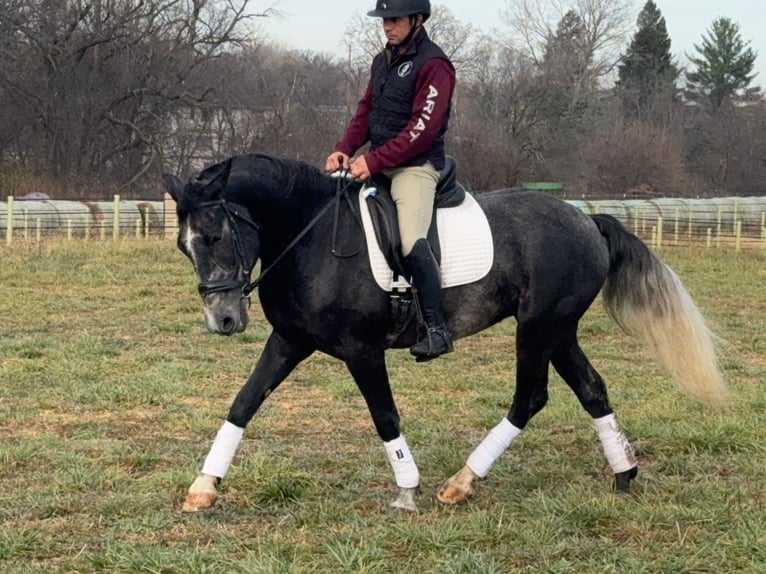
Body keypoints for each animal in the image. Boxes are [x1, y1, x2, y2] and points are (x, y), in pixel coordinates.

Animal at [162, 153, 726, 513]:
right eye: (183, 245)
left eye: (215, 235)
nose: (223, 320)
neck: (310, 234)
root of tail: (587, 221)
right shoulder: (290, 342)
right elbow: (242, 404)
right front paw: (204, 487)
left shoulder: (361, 351)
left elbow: (385, 416)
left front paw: (407, 490)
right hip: (559, 331)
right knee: (591, 389)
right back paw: (623, 473)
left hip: (538, 328)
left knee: (531, 396)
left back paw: (462, 483)